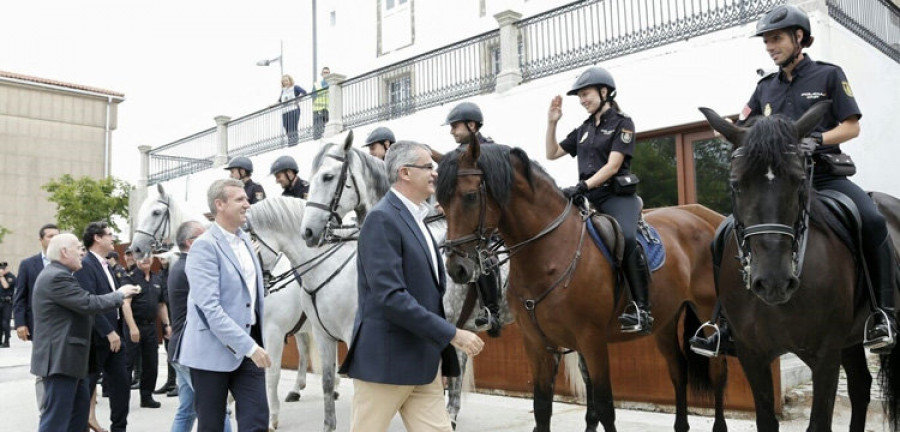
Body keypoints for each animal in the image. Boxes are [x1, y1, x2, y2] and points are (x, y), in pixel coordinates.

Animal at [130, 184, 312, 430]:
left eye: (156, 213)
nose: (135, 249)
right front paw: (232, 401)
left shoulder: (272, 331)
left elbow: (271, 372)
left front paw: (271, 416)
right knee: (305, 351)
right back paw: (299, 389)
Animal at [436, 140, 732, 430]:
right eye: (441, 201)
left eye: (470, 196)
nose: (456, 268)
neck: (550, 252)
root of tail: (700, 220)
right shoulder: (536, 344)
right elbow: (541, 408)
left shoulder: (592, 341)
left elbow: (605, 407)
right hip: (665, 320)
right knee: (677, 369)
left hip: (706, 312)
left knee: (718, 371)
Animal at [704, 102, 900, 432]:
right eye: (736, 183)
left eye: (798, 180)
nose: (773, 282)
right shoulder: (751, 354)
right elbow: (766, 420)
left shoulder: (826, 354)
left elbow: (819, 422)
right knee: (860, 386)